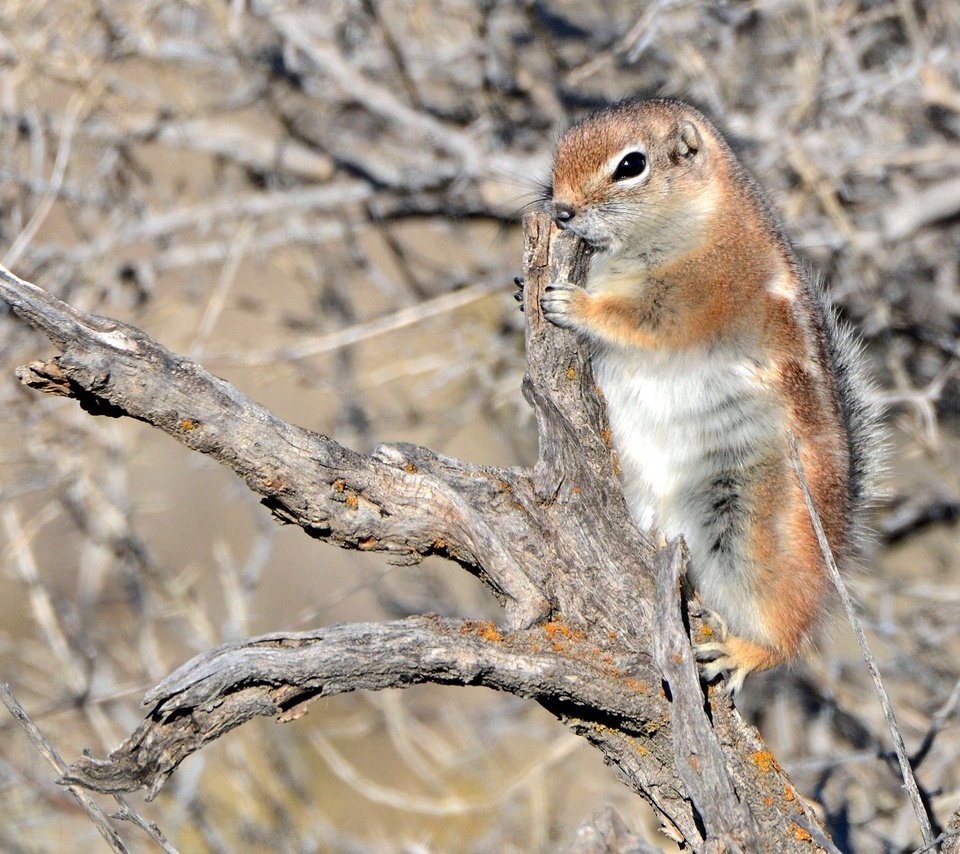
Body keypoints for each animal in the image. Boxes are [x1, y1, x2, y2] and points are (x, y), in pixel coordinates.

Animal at [536, 97, 880, 692]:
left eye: (631, 165)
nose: (561, 211)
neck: (701, 221)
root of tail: (836, 543)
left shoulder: (701, 295)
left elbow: (641, 321)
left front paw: (575, 305)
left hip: (752, 530)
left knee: (787, 630)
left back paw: (743, 651)